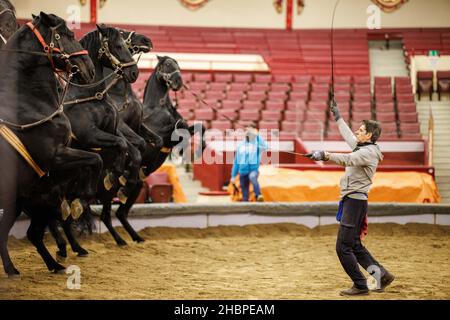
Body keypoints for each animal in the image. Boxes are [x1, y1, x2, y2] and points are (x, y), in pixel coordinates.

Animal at [0, 12, 99, 276]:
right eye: (69, 34)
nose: (90, 69)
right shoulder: (56, 157)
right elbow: (95, 159)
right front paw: (81, 199)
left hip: (16, 202)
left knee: (25, 234)